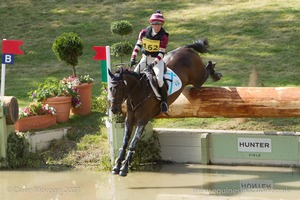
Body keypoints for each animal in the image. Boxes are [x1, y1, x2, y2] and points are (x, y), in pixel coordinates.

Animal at [106, 39, 221, 177]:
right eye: (110, 88)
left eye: (120, 88)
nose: (114, 109)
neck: (138, 92)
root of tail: (185, 48)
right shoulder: (129, 118)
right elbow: (124, 142)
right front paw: (117, 166)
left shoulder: (143, 120)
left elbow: (133, 142)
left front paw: (124, 168)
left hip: (197, 79)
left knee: (206, 69)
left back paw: (215, 73)